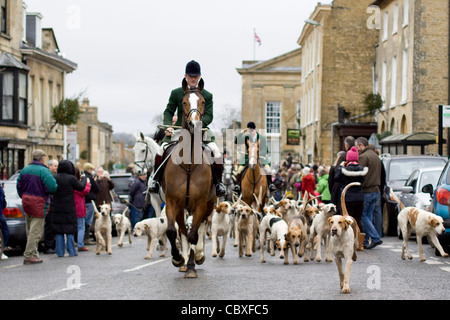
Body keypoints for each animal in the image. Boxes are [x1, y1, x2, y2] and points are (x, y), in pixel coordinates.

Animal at [163, 77, 217, 278]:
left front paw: (193, 263)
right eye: (184, 102)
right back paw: (185, 261)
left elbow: (195, 233)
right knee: (183, 231)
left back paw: (197, 257)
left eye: (203, 102)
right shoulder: (172, 202)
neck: (188, 164)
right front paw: (178, 259)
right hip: (182, 208)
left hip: (208, 205)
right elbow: (173, 232)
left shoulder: (201, 203)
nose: (195, 125)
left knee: (198, 229)